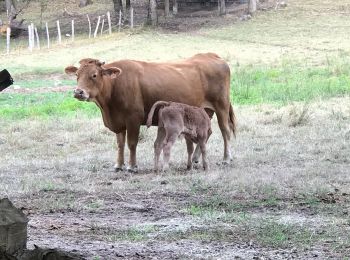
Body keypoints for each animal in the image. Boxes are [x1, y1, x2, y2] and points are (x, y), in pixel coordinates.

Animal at [64, 53, 237, 173]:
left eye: (94, 75)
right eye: (77, 75)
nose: (78, 92)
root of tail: (212, 55)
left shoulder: (133, 119)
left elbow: (131, 143)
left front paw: (132, 166)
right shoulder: (119, 121)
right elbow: (120, 144)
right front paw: (118, 165)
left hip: (221, 106)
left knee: (225, 131)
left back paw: (226, 158)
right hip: (203, 112)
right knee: (207, 133)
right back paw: (195, 158)